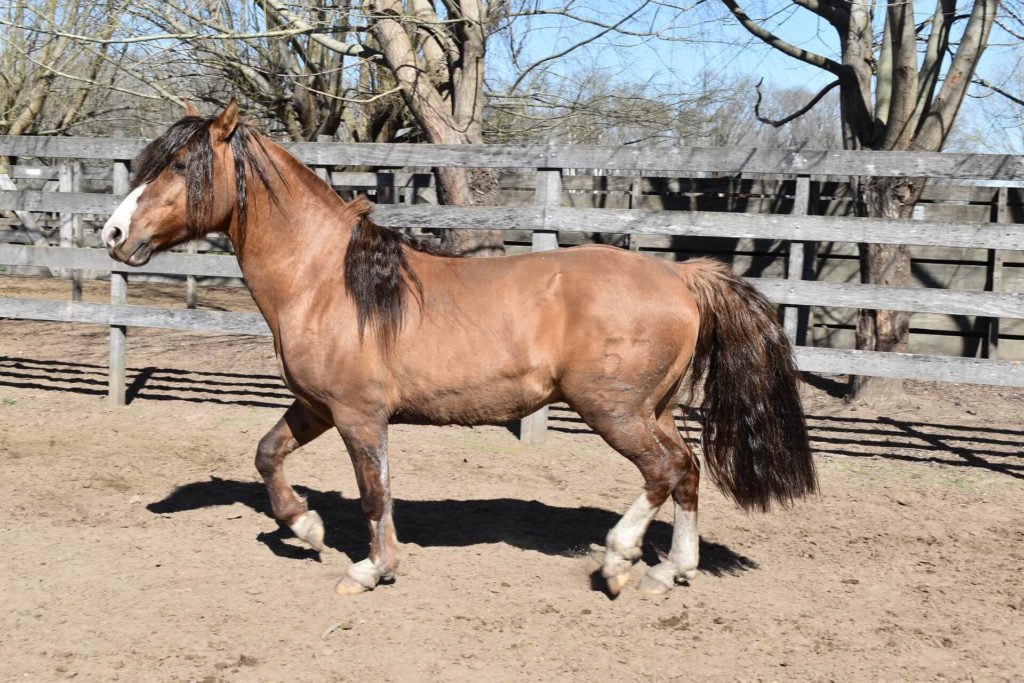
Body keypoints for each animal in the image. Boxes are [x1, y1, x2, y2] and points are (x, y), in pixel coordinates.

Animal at [101, 101, 815, 598]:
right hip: (651, 409)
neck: (324, 281)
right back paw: (672, 572)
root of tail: (681, 275)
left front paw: (371, 569)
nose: (112, 234)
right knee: (687, 470)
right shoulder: (316, 407)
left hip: (613, 409)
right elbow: (267, 455)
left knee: (664, 472)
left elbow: (375, 494)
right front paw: (304, 527)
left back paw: (619, 561)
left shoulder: (360, 416)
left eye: (179, 166)